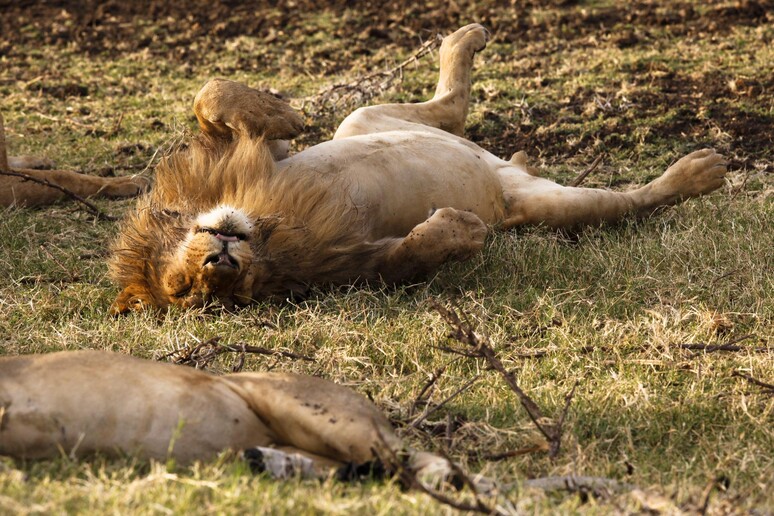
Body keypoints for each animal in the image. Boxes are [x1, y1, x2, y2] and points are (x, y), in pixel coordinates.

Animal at [107, 23, 728, 314]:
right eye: (191, 291)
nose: (221, 261)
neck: (263, 223)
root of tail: (504, 169)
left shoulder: (249, 161)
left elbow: (212, 96)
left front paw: (285, 112)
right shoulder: (355, 262)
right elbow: (415, 252)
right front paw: (460, 229)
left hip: (360, 121)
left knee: (446, 108)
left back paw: (463, 39)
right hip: (550, 205)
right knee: (628, 200)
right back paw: (701, 171)